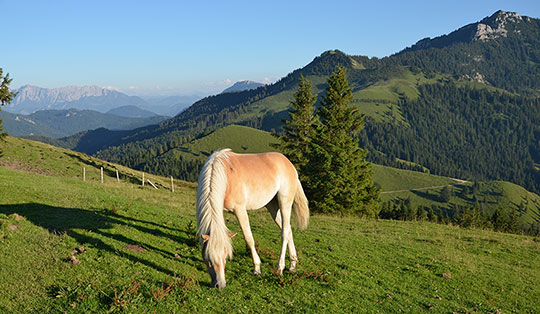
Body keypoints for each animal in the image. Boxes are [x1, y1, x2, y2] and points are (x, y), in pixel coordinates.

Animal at [197, 148, 310, 288]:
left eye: (225, 257)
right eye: (208, 259)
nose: (220, 284)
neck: (225, 176)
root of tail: (289, 164)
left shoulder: (240, 210)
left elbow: (249, 238)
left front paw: (257, 269)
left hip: (285, 203)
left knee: (284, 233)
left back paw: (280, 268)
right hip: (272, 206)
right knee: (288, 230)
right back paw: (292, 265)